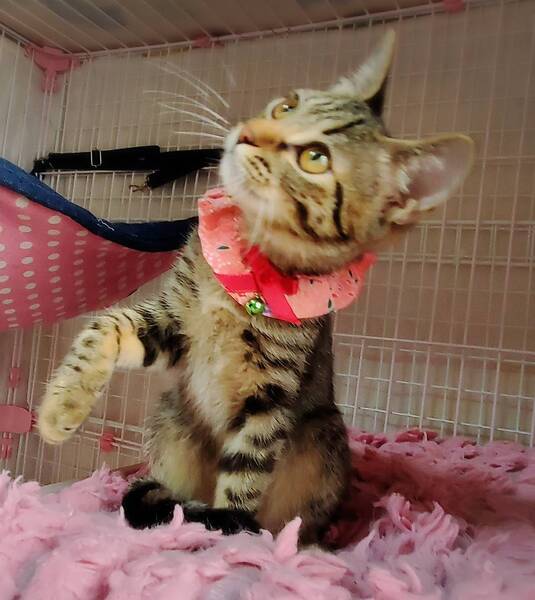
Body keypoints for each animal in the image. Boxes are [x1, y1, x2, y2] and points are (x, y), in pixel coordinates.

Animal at [38, 30, 473, 545]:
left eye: (315, 158)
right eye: (285, 106)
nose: (247, 132)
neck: (248, 258)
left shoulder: (271, 392)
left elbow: (247, 468)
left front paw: (224, 533)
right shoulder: (176, 323)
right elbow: (107, 324)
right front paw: (61, 406)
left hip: (324, 437)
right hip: (171, 414)